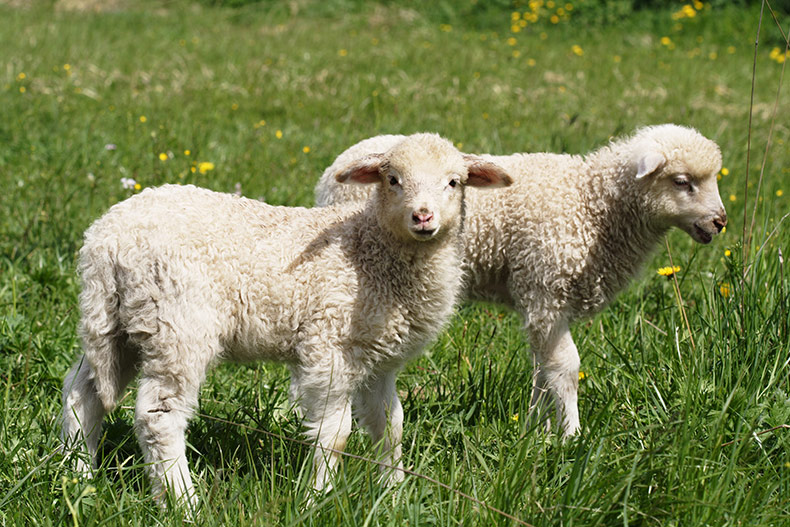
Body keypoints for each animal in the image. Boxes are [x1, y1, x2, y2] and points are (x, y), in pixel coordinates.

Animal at [58, 133, 510, 508]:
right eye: (393, 179)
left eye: (454, 182)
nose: (423, 217)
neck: (371, 249)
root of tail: (106, 240)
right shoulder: (329, 346)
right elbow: (335, 434)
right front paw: (318, 498)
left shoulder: (378, 357)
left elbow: (390, 424)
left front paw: (393, 492)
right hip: (177, 325)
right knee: (158, 415)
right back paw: (183, 502)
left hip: (120, 323)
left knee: (83, 392)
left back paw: (77, 475)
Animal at [316, 125, 732, 438]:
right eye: (682, 181)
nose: (720, 222)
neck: (592, 203)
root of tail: (332, 171)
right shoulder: (545, 288)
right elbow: (565, 367)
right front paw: (572, 435)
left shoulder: (543, 302)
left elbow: (541, 369)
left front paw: (536, 428)